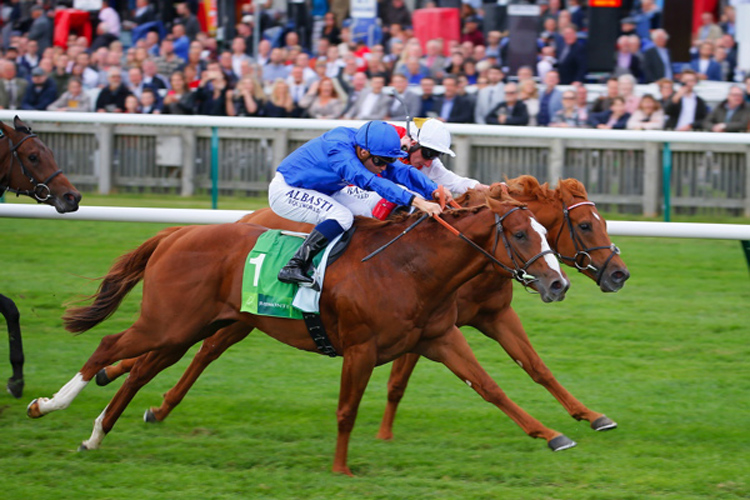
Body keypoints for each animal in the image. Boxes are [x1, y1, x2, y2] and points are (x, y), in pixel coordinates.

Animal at [27, 193, 568, 474]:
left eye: (547, 232)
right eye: (522, 234)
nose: (558, 283)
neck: (406, 266)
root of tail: (175, 233)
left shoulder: (438, 338)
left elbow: (492, 388)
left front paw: (554, 435)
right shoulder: (360, 348)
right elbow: (347, 411)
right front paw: (341, 470)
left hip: (187, 328)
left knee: (141, 370)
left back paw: (97, 435)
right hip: (166, 321)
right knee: (108, 346)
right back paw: (47, 405)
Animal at [98, 176, 628, 434]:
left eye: (599, 221)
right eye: (585, 225)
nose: (619, 274)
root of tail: (246, 218)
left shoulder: (489, 316)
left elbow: (536, 368)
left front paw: (592, 416)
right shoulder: (439, 322)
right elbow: (399, 381)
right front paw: (383, 434)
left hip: (237, 316)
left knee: (186, 349)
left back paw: (126, 387)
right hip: (236, 315)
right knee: (192, 350)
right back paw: (134, 393)